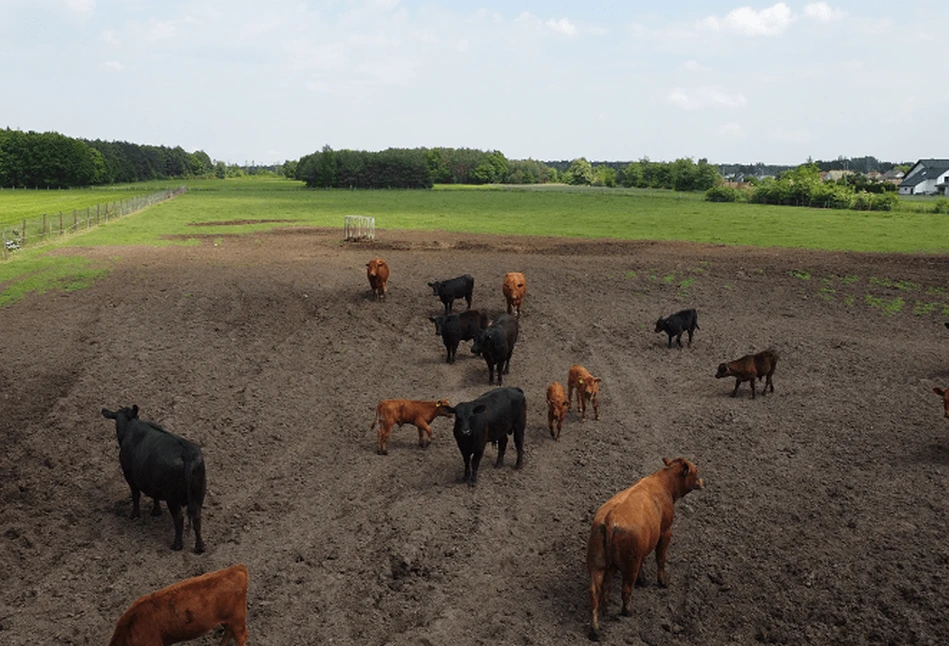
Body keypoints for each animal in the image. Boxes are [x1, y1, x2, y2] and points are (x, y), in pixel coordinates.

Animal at [102, 408, 207, 556]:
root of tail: (187, 453)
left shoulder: (129, 476)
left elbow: (136, 495)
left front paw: (134, 515)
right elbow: (154, 495)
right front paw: (156, 511)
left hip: (172, 498)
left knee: (179, 518)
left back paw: (177, 545)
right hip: (199, 494)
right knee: (197, 518)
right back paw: (199, 547)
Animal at [584, 460, 704, 644]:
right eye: (695, 471)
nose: (701, 481)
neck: (664, 483)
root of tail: (611, 518)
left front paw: (643, 579)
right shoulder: (665, 532)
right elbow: (661, 558)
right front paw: (663, 582)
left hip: (597, 563)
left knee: (596, 592)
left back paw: (597, 627)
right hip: (629, 564)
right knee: (626, 589)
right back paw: (627, 611)